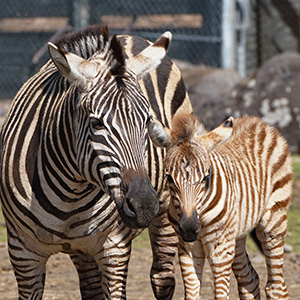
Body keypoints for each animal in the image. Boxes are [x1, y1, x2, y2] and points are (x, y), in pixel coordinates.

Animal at [0, 26, 192, 300]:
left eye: (147, 122)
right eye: (96, 123)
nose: (144, 205)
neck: (70, 194)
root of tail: (127, 36)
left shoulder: (115, 248)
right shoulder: (22, 252)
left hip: (167, 208)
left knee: (162, 278)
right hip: (81, 248)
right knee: (91, 288)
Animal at [148, 114, 292, 300]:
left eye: (206, 176)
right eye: (169, 177)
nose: (189, 228)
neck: (200, 215)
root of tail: (258, 122)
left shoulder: (220, 249)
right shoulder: (188, 248)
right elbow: (192, 293)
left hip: (273, 223)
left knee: (276, 286)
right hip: (237, 235)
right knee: (249, 280)